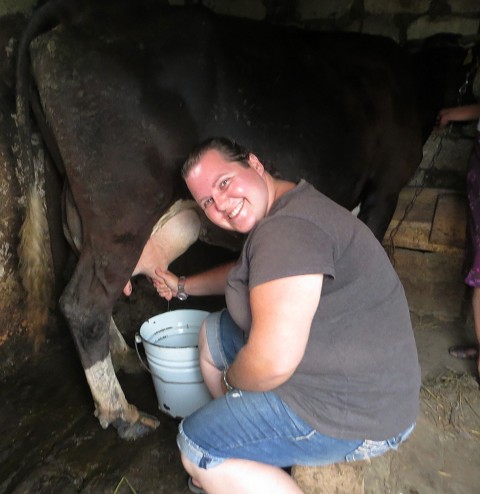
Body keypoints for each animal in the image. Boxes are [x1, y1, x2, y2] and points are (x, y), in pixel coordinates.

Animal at [14, 0, 478, 439]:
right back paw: (121, 413)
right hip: (122, 212)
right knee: (84, 303)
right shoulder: (385, 186)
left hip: (78, 214)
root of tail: (79, 13)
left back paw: (127, 357)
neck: (412, 81)